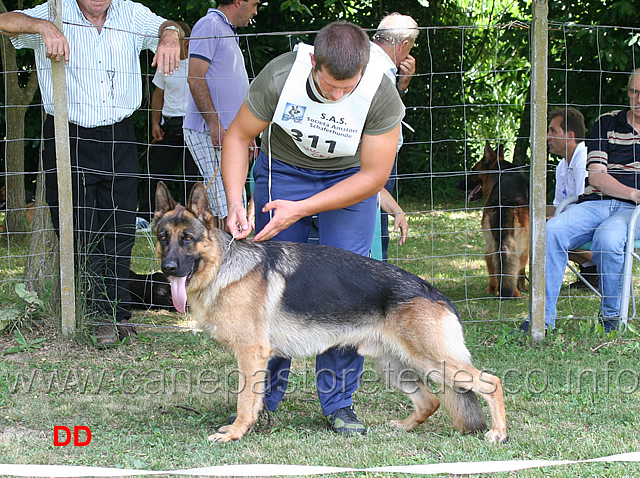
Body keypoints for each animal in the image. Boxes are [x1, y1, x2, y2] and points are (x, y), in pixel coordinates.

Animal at [152, 181, 508, 442]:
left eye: (188, 239)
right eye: (163, 238)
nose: (167, 269)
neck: (224, 268)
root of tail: (436, 293)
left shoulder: (252, 354)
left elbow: (244, 400)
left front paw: (235, 434)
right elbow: (252, 400)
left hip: (435, 361)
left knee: (491, 382)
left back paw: (498, 433)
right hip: (393, 366)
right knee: (430, 400)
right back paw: (402, 428)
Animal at [460, 142, 528, 298]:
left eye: (473, 170)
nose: (457, 184)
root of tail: (506, 201)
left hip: (493, 243)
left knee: (494, 264)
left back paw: (497, 290)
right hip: (521, 247)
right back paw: (513, 293)